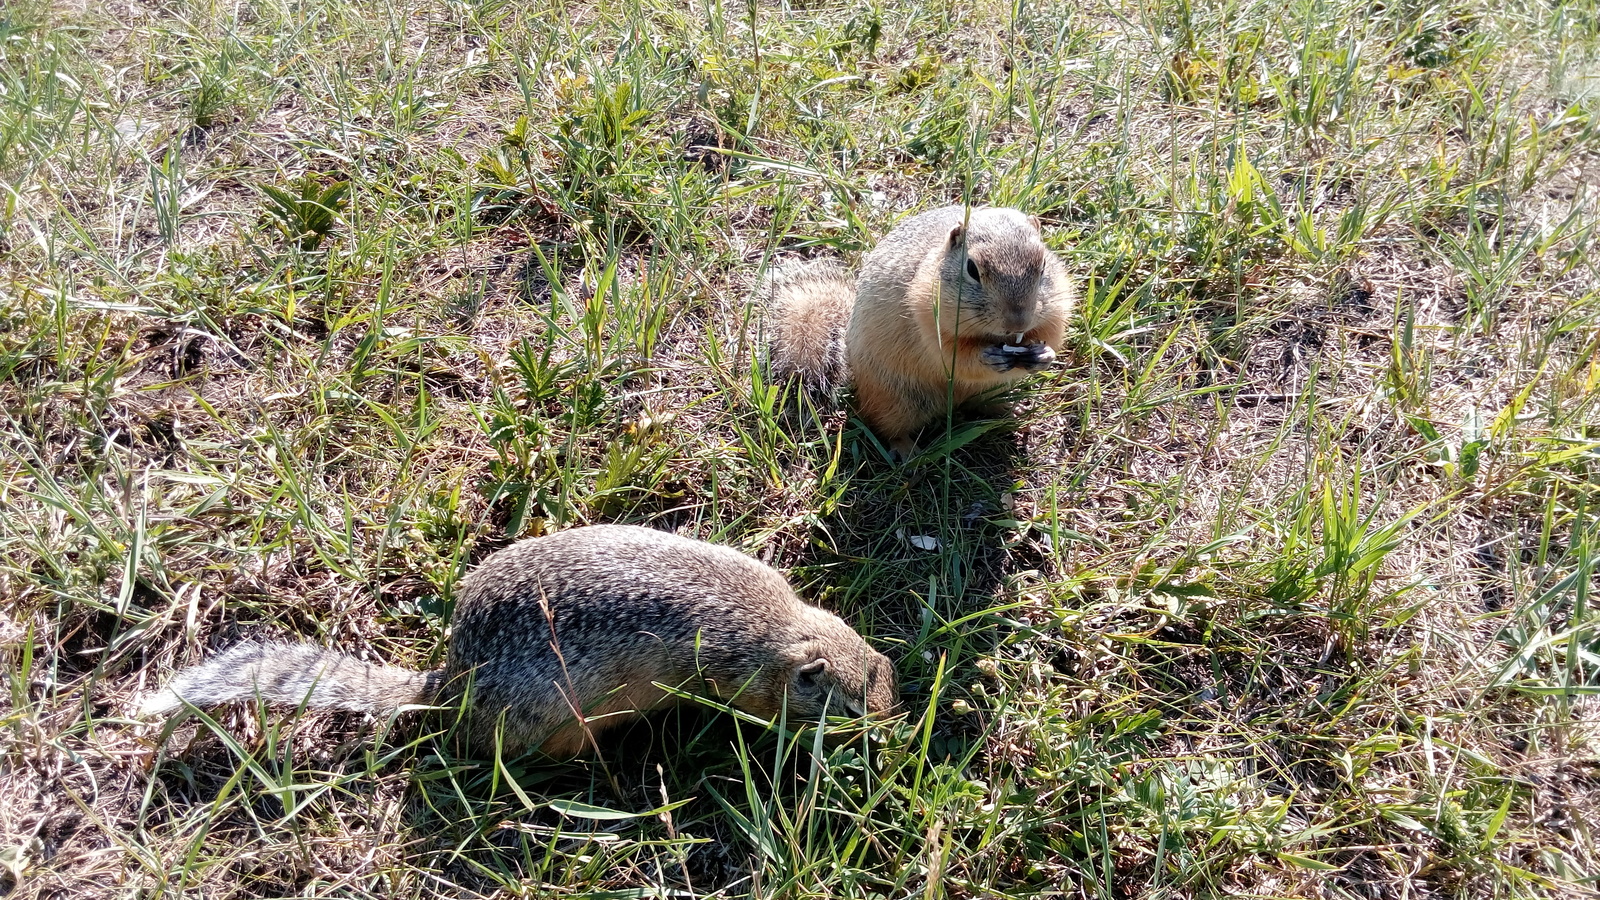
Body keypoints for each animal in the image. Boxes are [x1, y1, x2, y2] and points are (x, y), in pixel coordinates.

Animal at [764, 203, 1075, 454]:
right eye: (972, 269)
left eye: (1044, 264)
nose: (1017, 323)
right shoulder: (927, 317)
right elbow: (952, 356)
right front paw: (987, 357)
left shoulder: (1057, 307)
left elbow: (1052, 332)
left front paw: (1044, 355)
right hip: (895, 399)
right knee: (885, 425)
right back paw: (907, 452)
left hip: (988, 390)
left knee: (983, 404)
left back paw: (1012, 410)